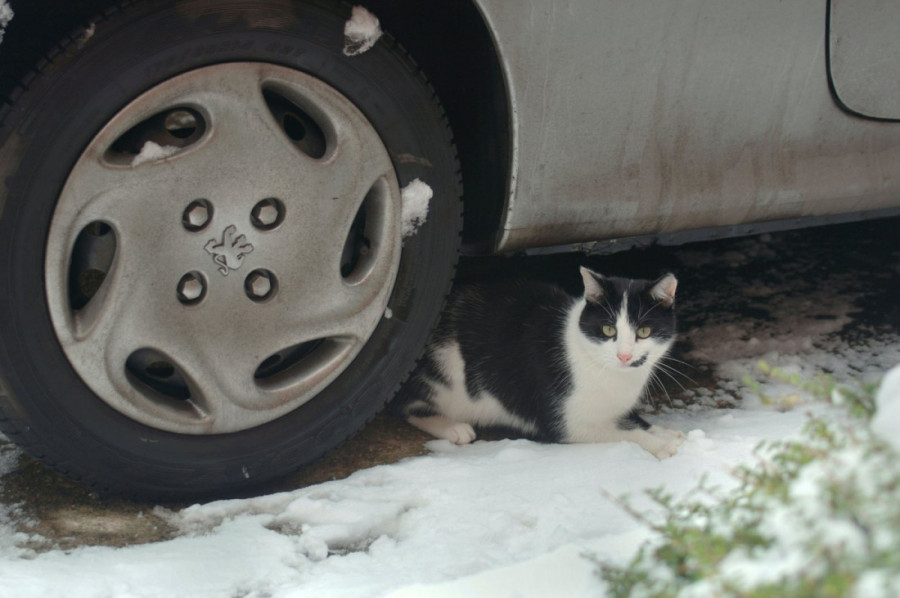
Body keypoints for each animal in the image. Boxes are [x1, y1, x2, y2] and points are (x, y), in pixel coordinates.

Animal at [390, 270, 684, 462]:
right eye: (608, 329)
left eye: (644, 331)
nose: (624, 356)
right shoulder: (566, 423)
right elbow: (625, 433)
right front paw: (661, 444)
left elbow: (635, 422)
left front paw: (666, 432)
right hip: (445, 370)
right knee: (406, 404)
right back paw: (452, 427)